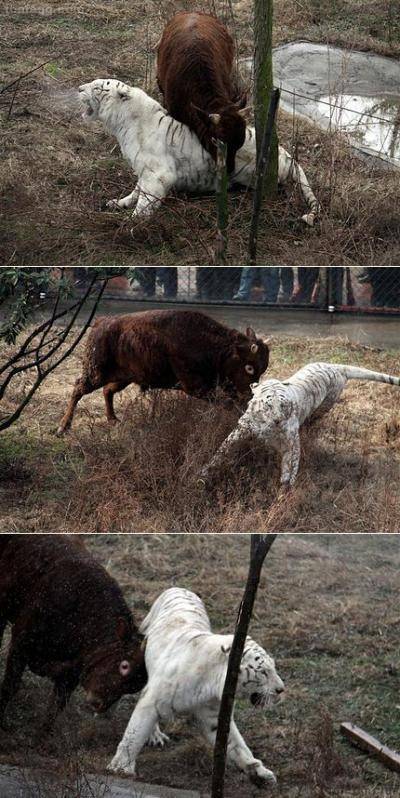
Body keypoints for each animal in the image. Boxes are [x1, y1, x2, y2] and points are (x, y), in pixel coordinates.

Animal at [56, 308, 268, 434]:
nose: (249, 392)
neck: (217, 348)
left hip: (123, 378)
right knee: (78, 389)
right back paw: (63, 427)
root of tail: (100, 323)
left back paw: (113, 420)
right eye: (249, 367)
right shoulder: (195, 387)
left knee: (107, 391)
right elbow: (226, 403)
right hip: (95, 374)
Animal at [77, 78, 318, 227]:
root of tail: (287, 155)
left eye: (97, 87)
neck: (123, 123)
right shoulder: (144, 172)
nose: (79, 88)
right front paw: (120, 203)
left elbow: (145, 202)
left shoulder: (158, 175)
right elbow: (137, 191)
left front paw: (129, 224)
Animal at [108, 588, 284, 788]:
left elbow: (237, 745)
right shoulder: (152, 701)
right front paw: (120, 768)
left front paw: (259, 773)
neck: (212, 685)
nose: (281, 690)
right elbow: (135, 733)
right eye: (263, 672)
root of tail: (178, 588)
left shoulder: (214, 715)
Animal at [202, 362, 400, 488]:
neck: (266, 425)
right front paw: (204, 474)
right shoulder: (242, 428)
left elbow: (290, 467)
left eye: (283, 405)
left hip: (323, 407)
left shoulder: (291, 443)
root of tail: (336, 367)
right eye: (268, 405)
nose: (277, 420)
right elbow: (222, 449)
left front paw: (285, 492)